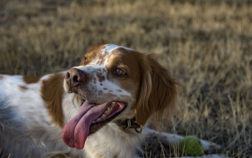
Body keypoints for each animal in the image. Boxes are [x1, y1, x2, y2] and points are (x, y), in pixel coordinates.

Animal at [0, 43, 220, 157]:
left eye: (119, 71)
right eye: (86, 59)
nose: (72, 76)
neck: (120, 127)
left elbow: (158, 134)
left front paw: (206, 145)